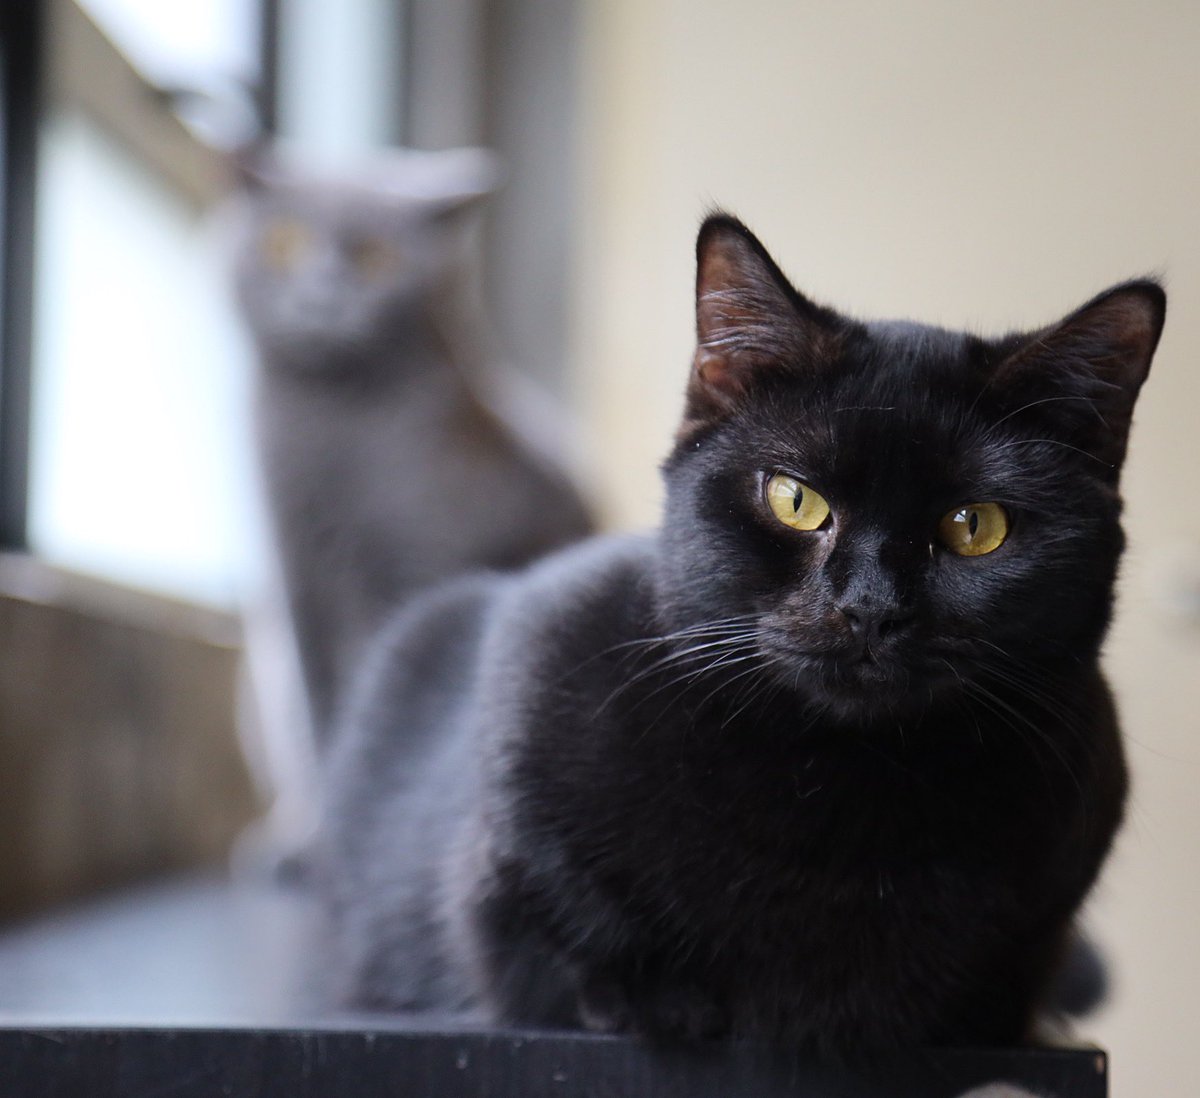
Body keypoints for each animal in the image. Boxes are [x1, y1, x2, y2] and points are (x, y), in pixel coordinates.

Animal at [226, 144, 592, 763]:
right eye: (284, 243)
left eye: (376, 258)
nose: (322, 296)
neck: (334, 429)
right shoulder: (299, 578)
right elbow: (318, 703)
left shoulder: (418, 560)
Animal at [319, 210, 1161, 1060]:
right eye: (795, 500)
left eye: (974, 527)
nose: (869, 607)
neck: (840, 779)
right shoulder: (529, 702)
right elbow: (561, 922)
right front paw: (656, 999)